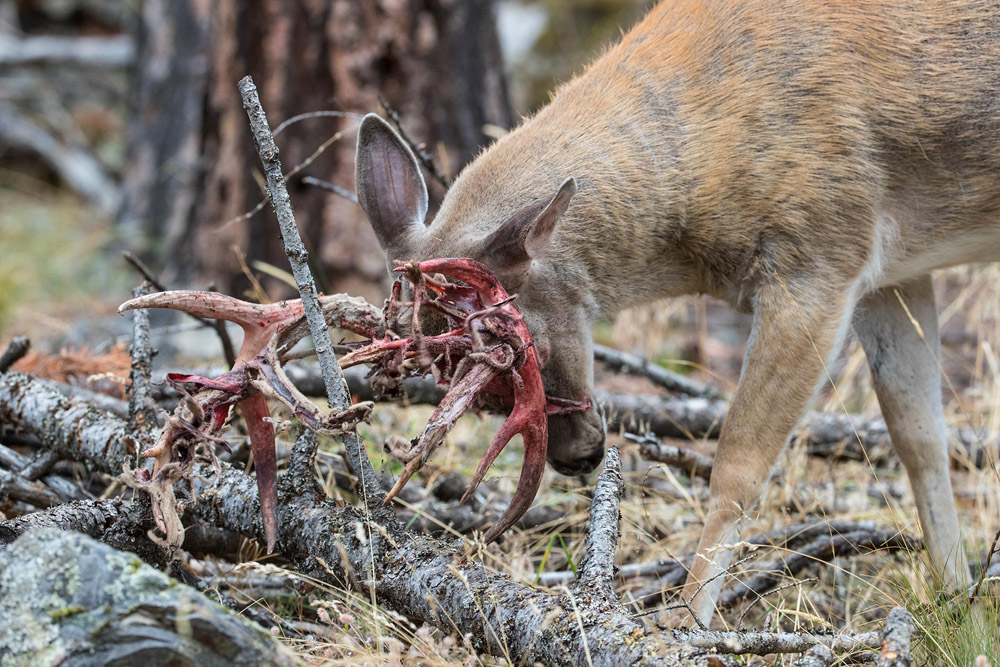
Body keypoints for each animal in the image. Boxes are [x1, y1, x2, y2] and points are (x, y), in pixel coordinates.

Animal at [354, 0, 1000, 628]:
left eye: (522, 349)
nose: (576, 458)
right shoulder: (892, 273)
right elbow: (921, 440)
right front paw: (960, 611)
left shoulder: (820, 255)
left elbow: (738, 469)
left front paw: (687, 625)